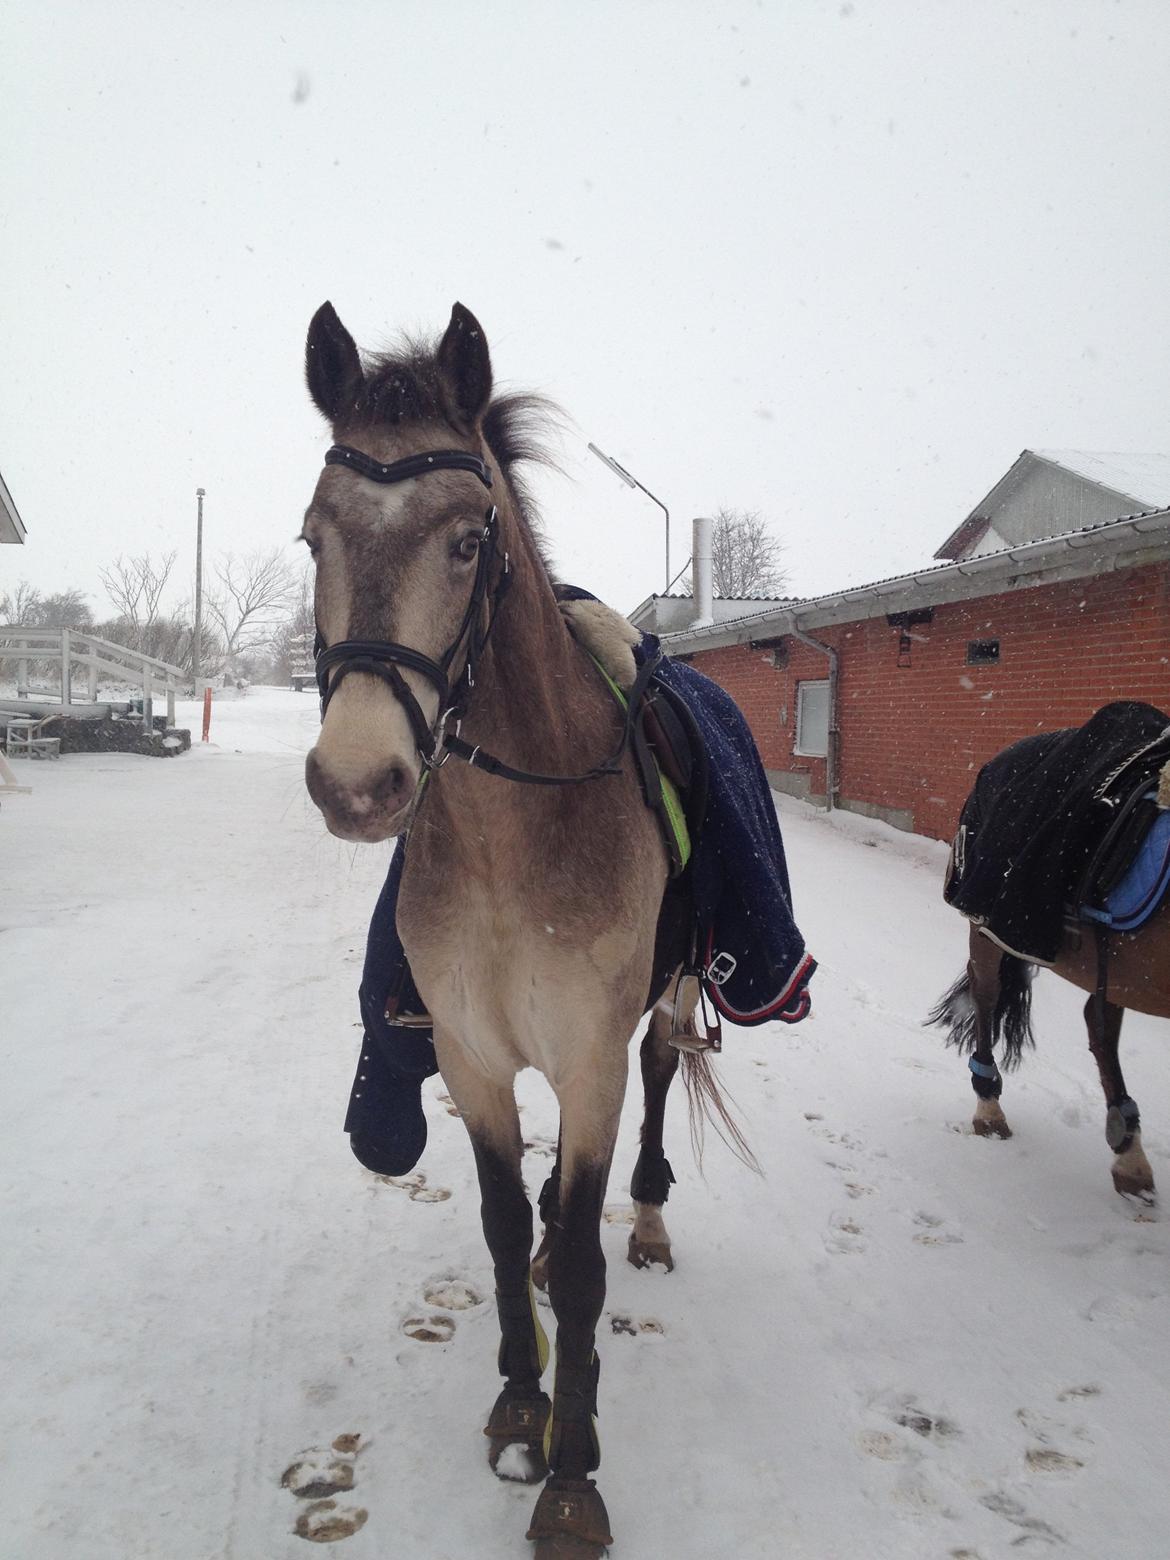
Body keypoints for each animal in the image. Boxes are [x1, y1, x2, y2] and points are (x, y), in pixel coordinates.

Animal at [297, 304, 751, 1560]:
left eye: (466, 542)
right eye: (312, 539)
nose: (357, 783)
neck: (514, 838)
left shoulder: (589, 1062)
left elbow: (588, 1273)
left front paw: (572, 1475)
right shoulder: (473, 1058)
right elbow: (505, 1227)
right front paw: (517, 1400)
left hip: (671, 995)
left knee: (660, 1075)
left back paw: (650, 1215)